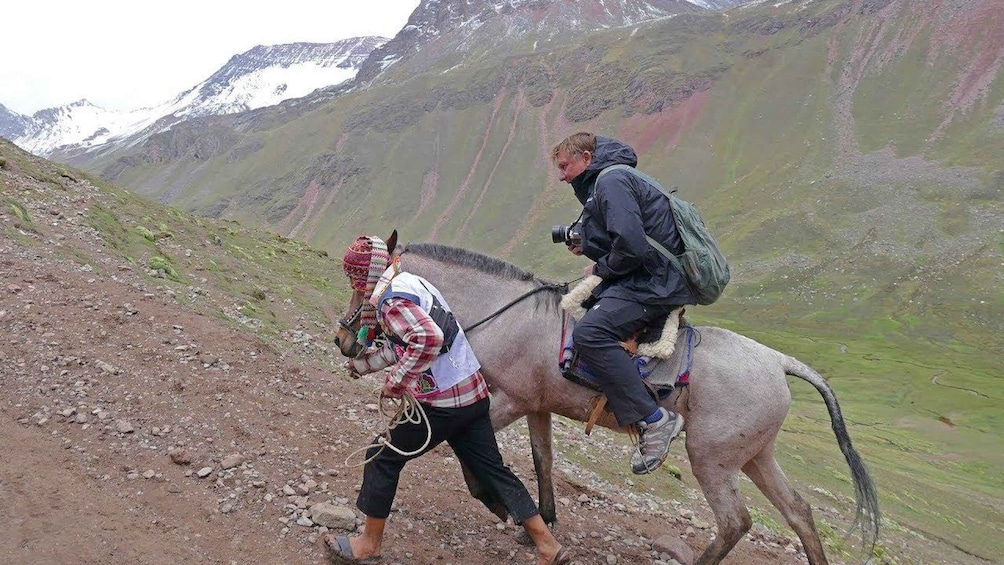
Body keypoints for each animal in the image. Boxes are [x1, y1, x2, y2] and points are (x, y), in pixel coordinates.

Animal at [335, 231, 879, 561]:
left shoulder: (504, 402)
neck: (503, 312)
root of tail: (778, 361)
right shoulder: (536, 407)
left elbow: (474, 460)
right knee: (800, 513)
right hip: (755, 457)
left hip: (712, 458)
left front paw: (499, 506)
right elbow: (542, 459)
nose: (343, 339)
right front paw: (539, 520)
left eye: (362, 284)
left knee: (735, 522)